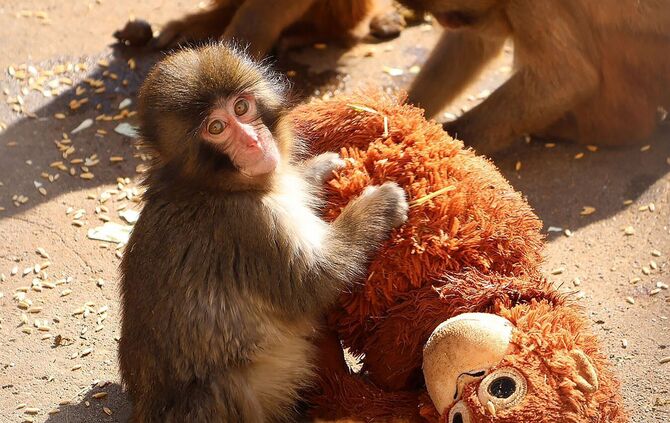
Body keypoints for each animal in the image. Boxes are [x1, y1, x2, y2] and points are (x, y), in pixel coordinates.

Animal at [117, 43, 409, 422]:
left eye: (242, 107)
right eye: (216, 127)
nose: (254, 142)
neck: (212, 186)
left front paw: (318, 169)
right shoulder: (249, 225)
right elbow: (314, 282)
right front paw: (379, 204)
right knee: (222, 387)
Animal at [400, 0, 670, 154]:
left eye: (450, 14)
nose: (445, 21)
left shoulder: (530, 2)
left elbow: (567, 79)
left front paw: (444, 143)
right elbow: (474, 42)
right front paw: (404, 110)